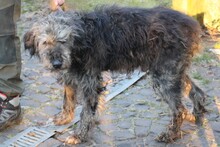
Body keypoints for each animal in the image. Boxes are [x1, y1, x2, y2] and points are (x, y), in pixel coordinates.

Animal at [23, 6, 207, 145]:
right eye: (45, 42)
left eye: (63, 41)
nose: (56, 64)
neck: (80, 38)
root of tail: (190, 23)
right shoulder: (71, 75)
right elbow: (67, 101)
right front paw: (64, 119)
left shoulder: (90, 80)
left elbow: (86, 111)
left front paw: (79, 135)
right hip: (173, 71)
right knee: (196, 92)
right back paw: (196, 114)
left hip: (163, 75)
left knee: (178, 109)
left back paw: (171, 134)